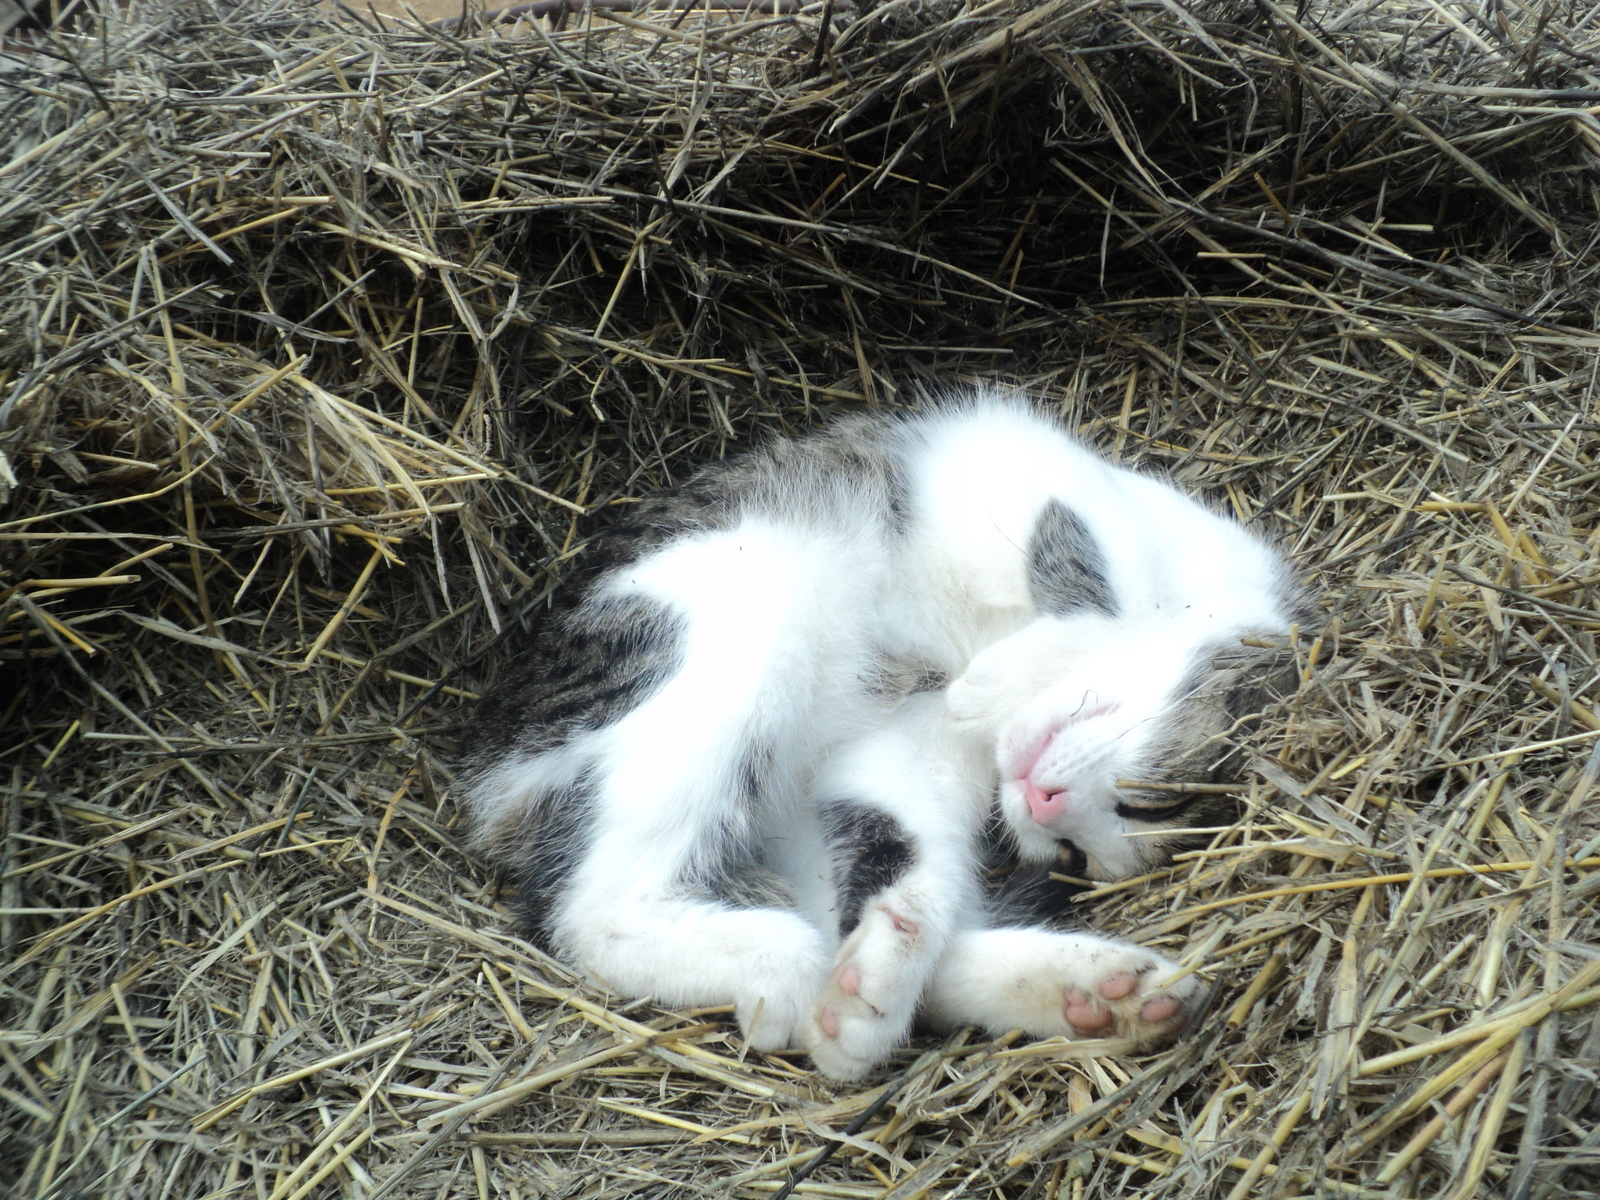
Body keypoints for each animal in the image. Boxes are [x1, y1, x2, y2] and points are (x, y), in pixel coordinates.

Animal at [457, 395, 1305, 1081]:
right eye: (1154, 803)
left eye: (1081, 855)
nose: (1045, 803)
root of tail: (490, 765)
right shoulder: (1023, 459)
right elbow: (1094, 584)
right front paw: (1006, 677)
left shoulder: (906, 750)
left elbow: (907, 853)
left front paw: (880, 974)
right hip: (743, 612)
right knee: (590, 909)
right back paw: (787, 965)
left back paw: (1089, 994)